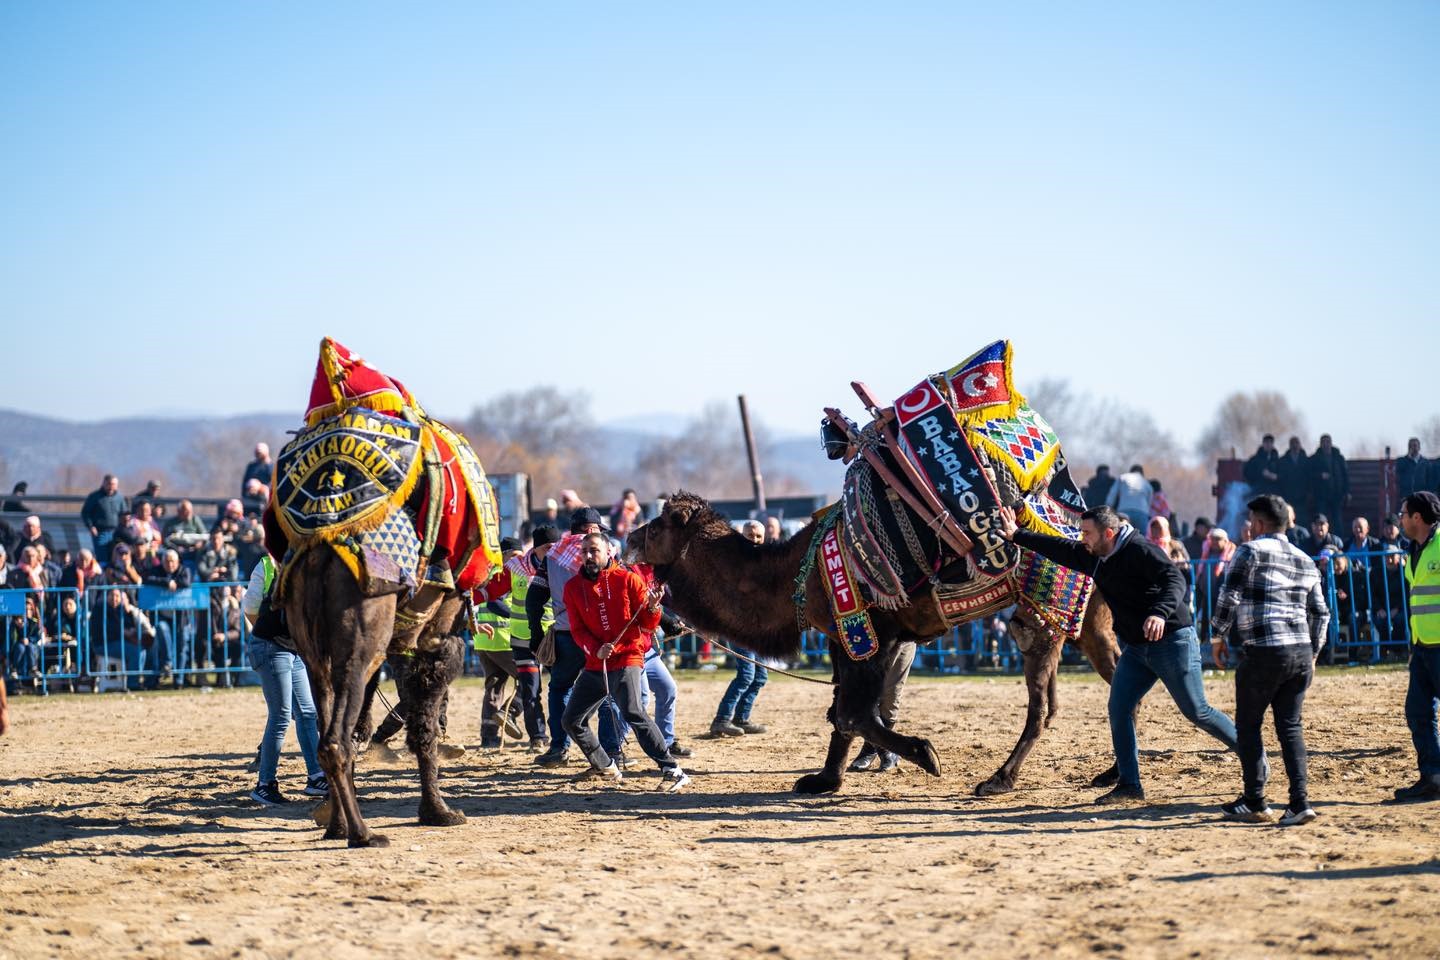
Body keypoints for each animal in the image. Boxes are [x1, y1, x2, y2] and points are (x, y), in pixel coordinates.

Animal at [288, 546, 472, 846]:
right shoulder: (435, 635)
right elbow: (424, 721)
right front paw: (439, 813)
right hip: (362, 637)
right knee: (337, 740)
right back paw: (363, 834)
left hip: (315, 654)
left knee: (327, 727)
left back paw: (336, 825)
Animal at [624, 492, 1117, 800]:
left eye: (660, 525)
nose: (627, 537)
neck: (790, 574)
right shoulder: (844, 634)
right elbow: (842, 711)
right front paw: (822, 781)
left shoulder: (871, 630)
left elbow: (853, 713)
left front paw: (926, 754)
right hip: (1092, 617)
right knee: (1112, 676)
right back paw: (1110, 775)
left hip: (1041, 615)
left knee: (1043, 705)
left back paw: (997, 781)